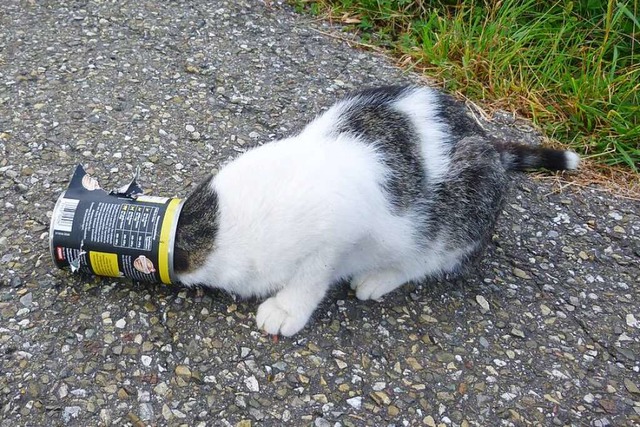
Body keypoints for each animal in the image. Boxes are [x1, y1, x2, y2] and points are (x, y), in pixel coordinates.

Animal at [171, 85, 580, 336]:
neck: (219, 224)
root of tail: (491, 145)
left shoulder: (334, 238)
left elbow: (311, 278)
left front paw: (286, 310)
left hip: (460, 221)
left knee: (426, 261)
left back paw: (378, 279)